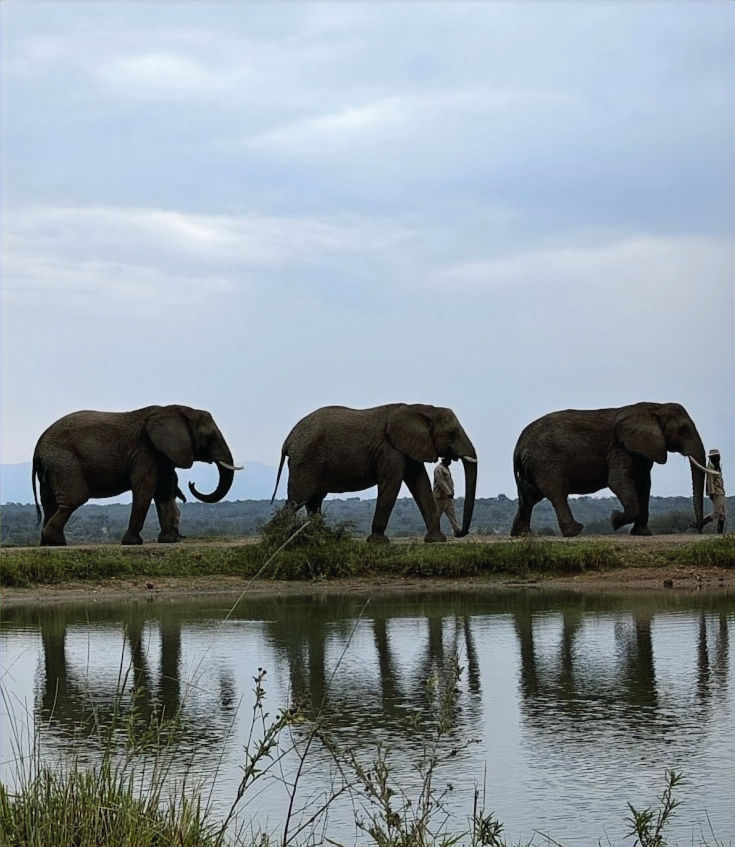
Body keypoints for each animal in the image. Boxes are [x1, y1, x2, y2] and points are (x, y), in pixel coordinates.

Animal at [32, 405, 240, 546]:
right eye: (209, 436)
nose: (192, 483)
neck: (175, 409)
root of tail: (38, 447)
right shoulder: (145, 452)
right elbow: (145, 488)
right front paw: (133, 542)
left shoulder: (161, 455)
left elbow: (164, 491)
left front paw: (168, 540)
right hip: (65, 464)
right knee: (74, 500)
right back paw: (57, 542)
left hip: (51, 468)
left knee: (49, 503)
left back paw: (48, 544)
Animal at [271, 403, 477, 543]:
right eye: (451, 433)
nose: (461, 532)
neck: (420, 408)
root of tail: (287, 440)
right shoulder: (389, 448)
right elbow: (392, 482)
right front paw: (379, 542)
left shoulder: (407, 447)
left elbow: (420, 482)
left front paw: (436, 540)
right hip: (306, 461)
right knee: (298, 499)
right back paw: (276, 537)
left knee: (314, 500)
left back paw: (321, 537)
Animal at [510, 402, 706, 537]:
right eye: (683, 429)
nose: (695, 526)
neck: (655, 407)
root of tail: (519, 444)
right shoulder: (620, 448)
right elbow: (618, 482)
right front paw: (614, 520)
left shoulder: (641, 450)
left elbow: (644, 485)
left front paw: (643, 533)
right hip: (546, 461)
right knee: (556, 493)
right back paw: (574, 531)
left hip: (533, 465)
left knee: (529, 497)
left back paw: (522, 535)